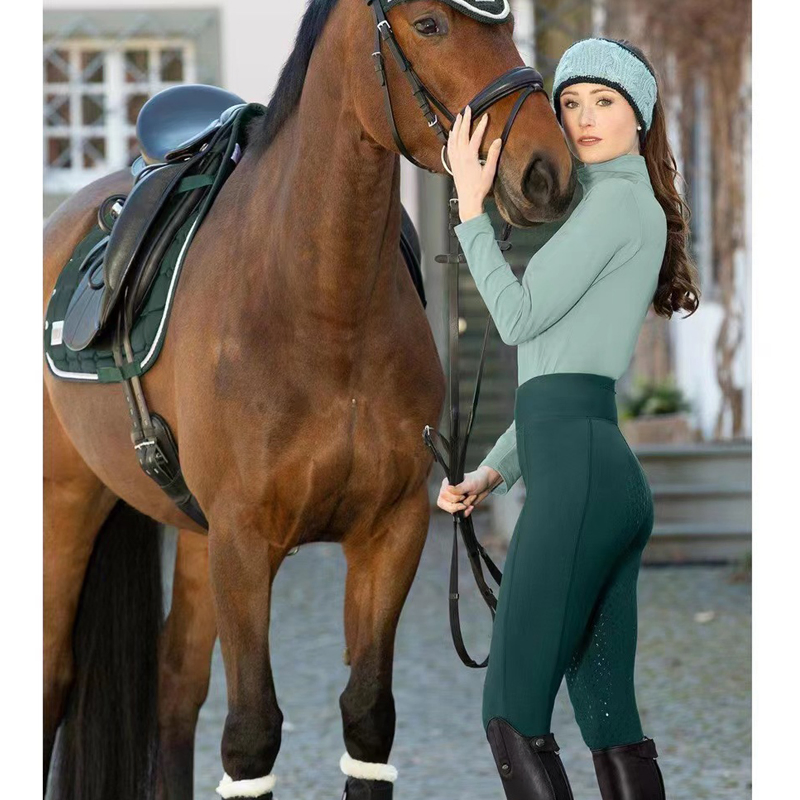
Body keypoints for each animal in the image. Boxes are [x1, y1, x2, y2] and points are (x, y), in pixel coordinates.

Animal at [43, 1, 574, 798]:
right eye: (429, 25)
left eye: (508, 25)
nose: (548, 171)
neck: (323, 306)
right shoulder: (243, 542)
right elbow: (252, 733)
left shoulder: (390, 533)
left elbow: (368, 716)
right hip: (68, 509)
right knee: (52, 681)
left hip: (193, 538)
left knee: (174, 693)